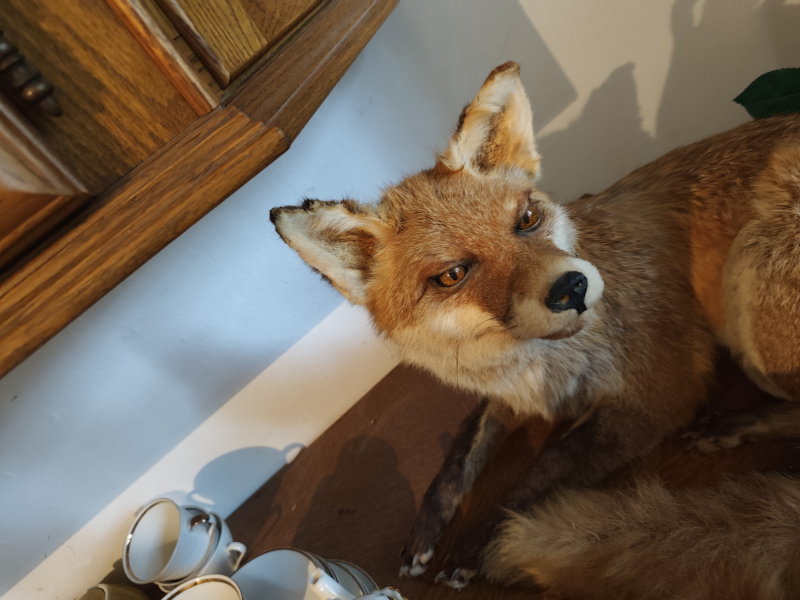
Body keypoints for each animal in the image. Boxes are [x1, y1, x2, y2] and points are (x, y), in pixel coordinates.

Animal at [270, 62, 800, 599]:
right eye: (452, 275)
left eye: (526, 219)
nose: (571, 287)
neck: (542, 365)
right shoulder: (508, 395)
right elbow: (456, 460)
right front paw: (424, 534)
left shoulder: (661, 393)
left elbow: (540, 471)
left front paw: (476, 544)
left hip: (747, 282)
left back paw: (738, 425)